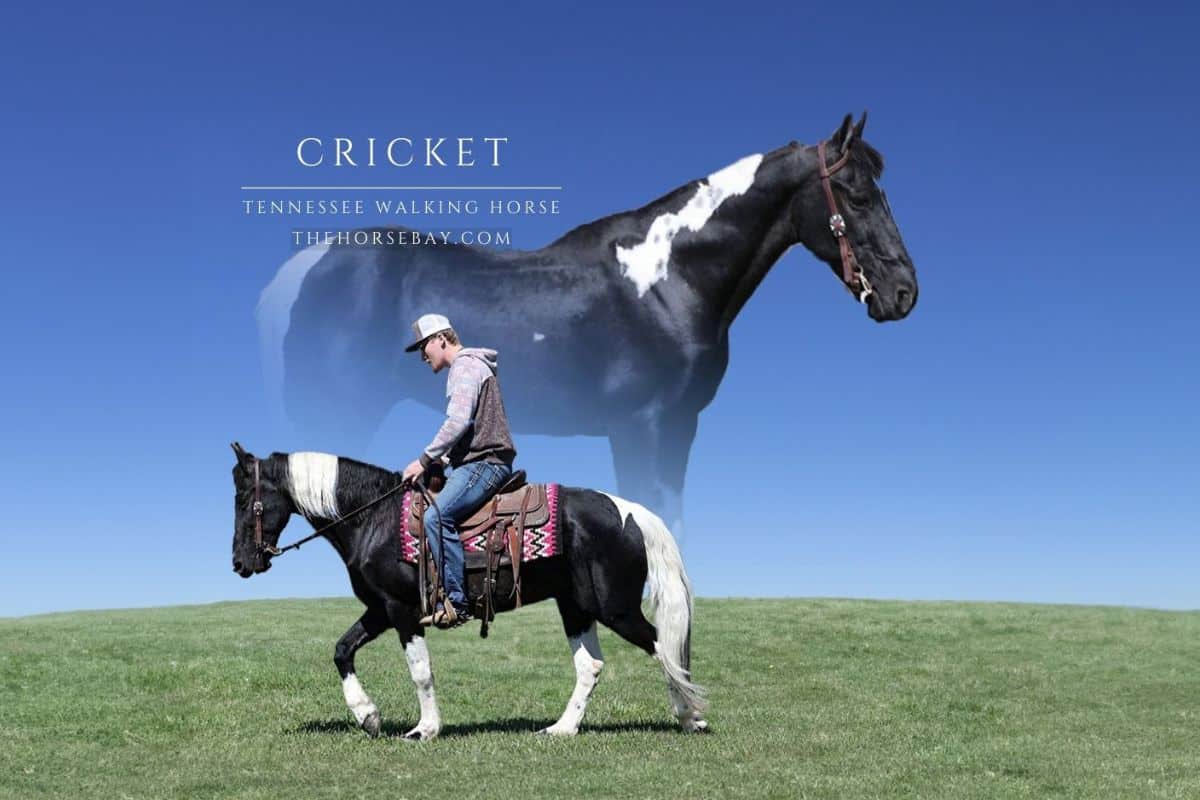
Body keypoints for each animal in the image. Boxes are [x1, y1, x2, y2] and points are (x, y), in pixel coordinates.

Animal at [230, 444, 708, 739]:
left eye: (243, 498)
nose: (239, 563)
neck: (373, 518)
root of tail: (630, 512)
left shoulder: (402, 611)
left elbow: (420, 671)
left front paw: (424, 729)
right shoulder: (380, 609)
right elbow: (342, 650)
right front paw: (368, 716)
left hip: (614, 607)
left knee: (663, 647)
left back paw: (690, 717)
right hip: (576, 606)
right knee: (591, 665)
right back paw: (562, 728)